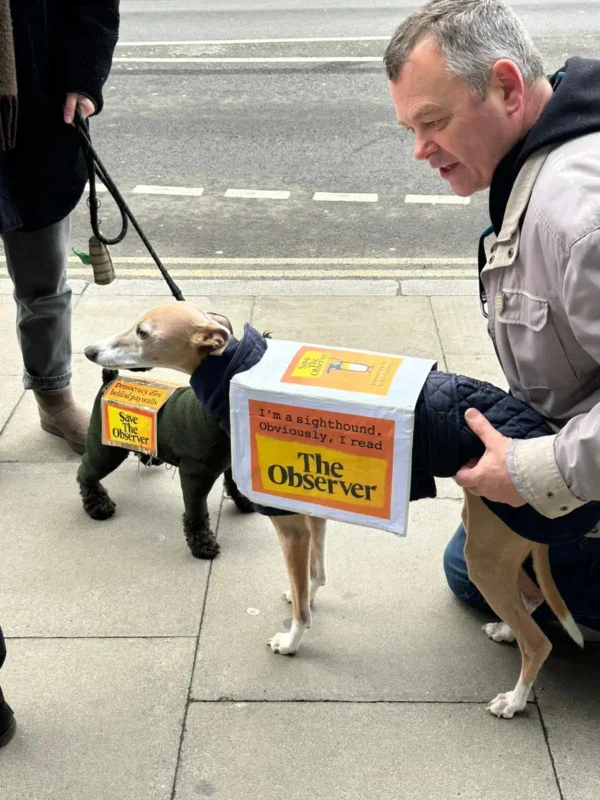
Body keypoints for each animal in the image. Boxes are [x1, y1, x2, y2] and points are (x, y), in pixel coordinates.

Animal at [86, 298, 584, 720]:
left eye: (144, 332)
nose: (89, 350)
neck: (237, 368)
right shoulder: (313, 510)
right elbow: (315, 573)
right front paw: (304, 592)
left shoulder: (289, 526)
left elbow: (303, 601)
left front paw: (292, 640)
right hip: (495, 542)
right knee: (533, 599)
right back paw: (505, 632)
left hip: (484, 554)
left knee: (539, 642)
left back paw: (514, 700)